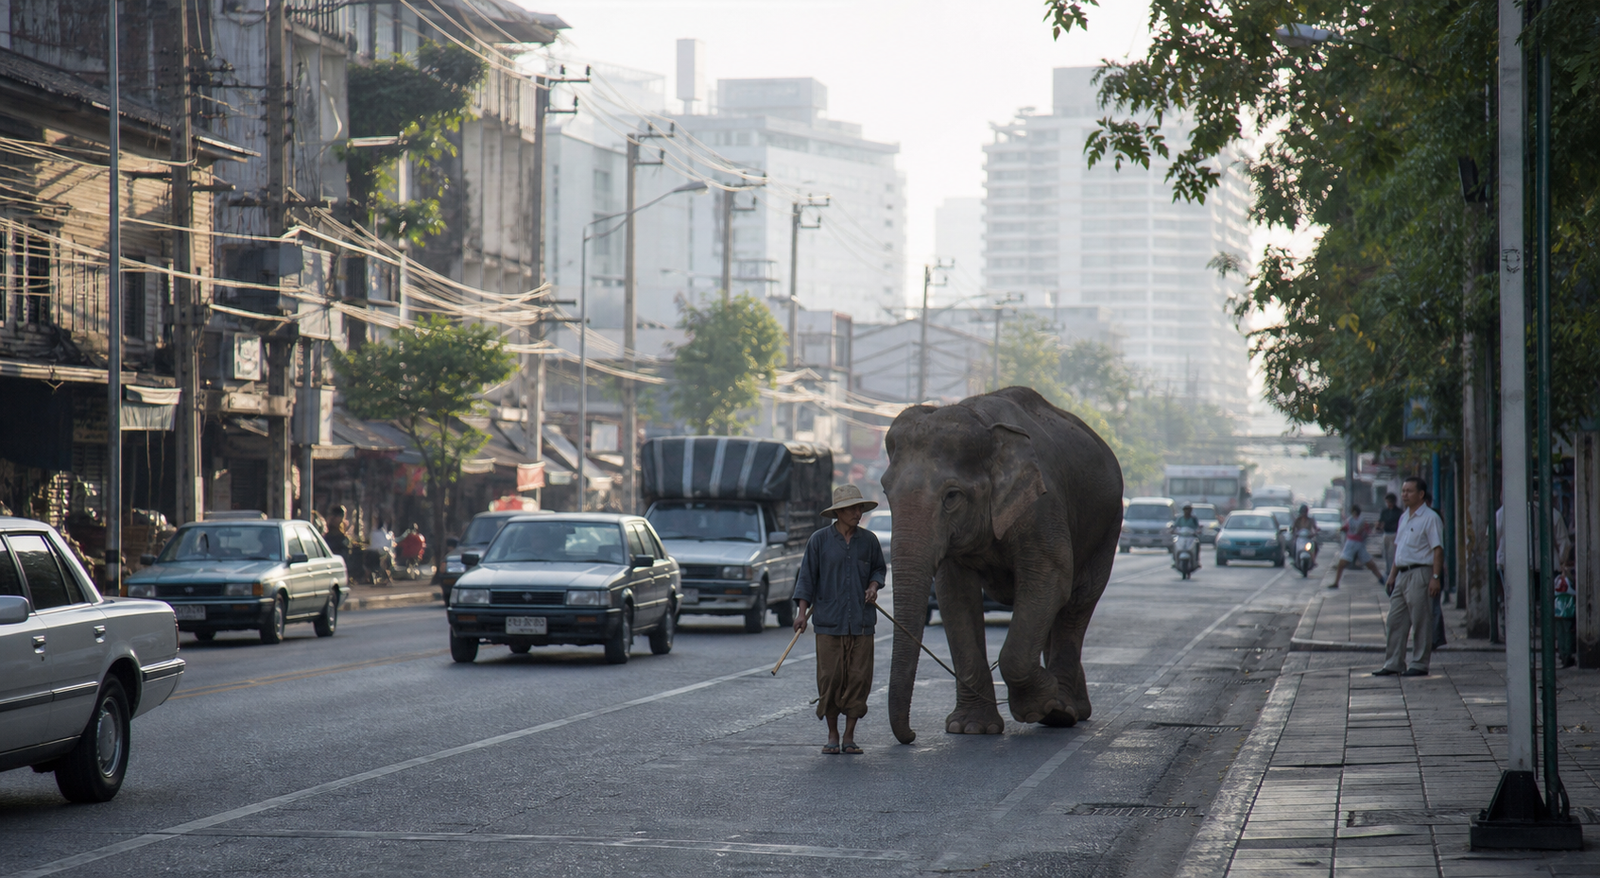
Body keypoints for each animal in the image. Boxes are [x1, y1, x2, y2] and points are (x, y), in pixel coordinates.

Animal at [880, 386, 1123, 744]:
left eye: (952, 496)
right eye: (885, 491)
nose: (910, 735)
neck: (982, 423)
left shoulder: (1041, 505)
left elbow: (1050, 578)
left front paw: (1042, 706)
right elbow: (955, 595)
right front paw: (970, 728)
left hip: (1108, 525)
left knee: (1077, 602)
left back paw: (1065, 712)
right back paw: (1074, 707)